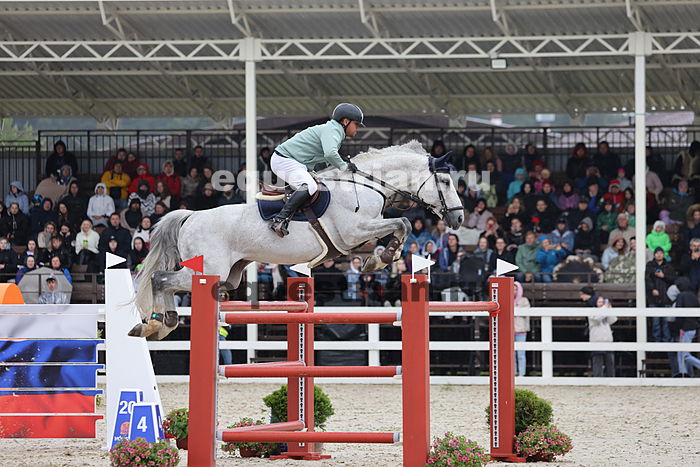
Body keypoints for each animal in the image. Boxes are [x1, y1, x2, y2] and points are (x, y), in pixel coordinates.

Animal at [131, 141, 464, 339]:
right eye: (446, 181)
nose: (459, 219)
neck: (366, 183)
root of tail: (191, 216)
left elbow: (401, 224)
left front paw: (385, 257)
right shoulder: (354, 232)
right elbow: (402, 222)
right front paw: (380, 259)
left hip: (229, 276)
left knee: (167, 282)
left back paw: (162, 322)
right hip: (208, 270)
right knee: (160, 279)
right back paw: (158, 322)